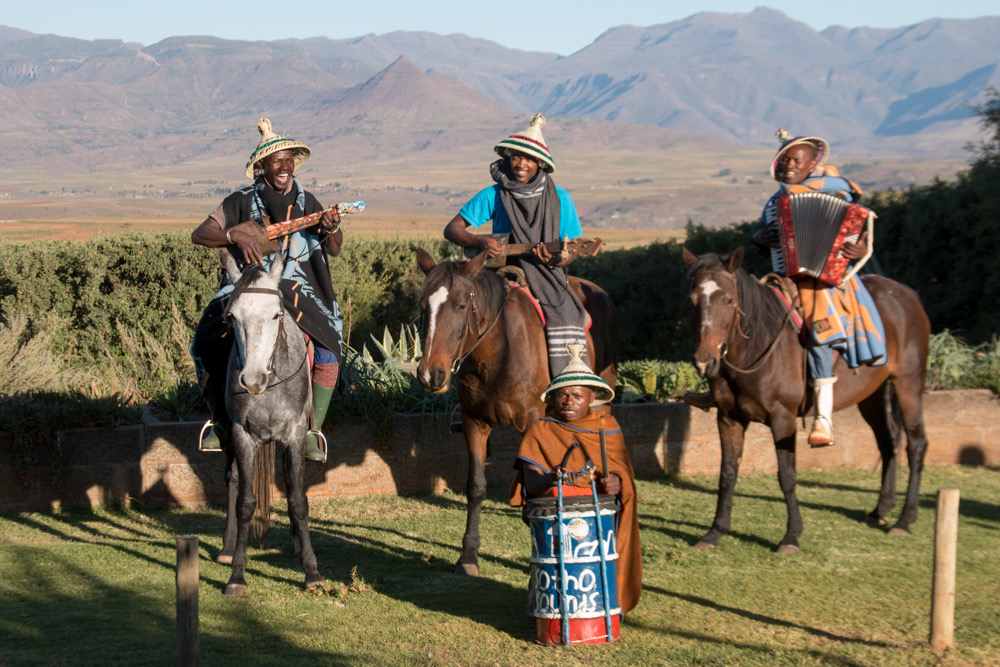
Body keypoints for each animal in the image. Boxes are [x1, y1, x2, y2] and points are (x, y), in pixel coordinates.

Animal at [215, 253, 324, 596]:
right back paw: (227, 548)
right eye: (232, 317)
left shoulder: (295, 434)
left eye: (276, 314)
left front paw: (311, 571)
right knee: (233, 478)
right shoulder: (243, 435)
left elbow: (298, 500)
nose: (251, 380)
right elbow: (245, 502)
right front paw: (237, 574)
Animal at [414, 248, 616, 576]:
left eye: (460, 305)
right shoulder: (474, 423)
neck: (499, 351)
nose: (431, 374)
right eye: (423, 307)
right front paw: (468, 555)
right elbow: (477, 487)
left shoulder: (532, 422)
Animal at [684, 248, 932, 556]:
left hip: (908, 384)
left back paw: (905, 519)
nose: (705, 362)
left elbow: (787, 476)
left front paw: (791, 536)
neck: (757, 346)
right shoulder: (729, 419)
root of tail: (908, 295)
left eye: (729, 300)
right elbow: (727, 474)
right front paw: (715, 532)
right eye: (692, 300)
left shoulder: (783, 419)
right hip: (872, 396)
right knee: (888, 445)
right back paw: (880, 511)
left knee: (916, 444)